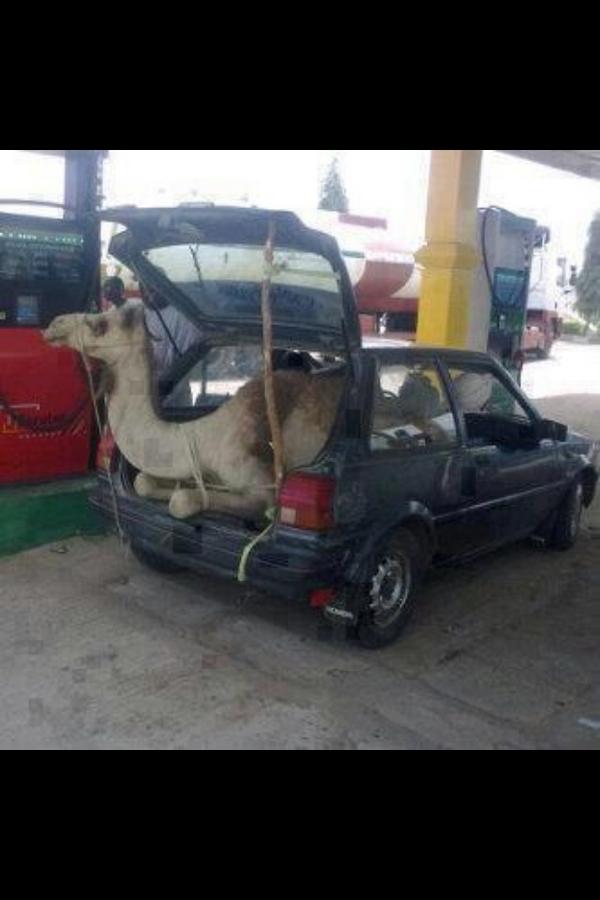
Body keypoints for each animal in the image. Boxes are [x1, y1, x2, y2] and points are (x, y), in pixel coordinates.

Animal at [44, 305, 345, 521]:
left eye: (100, 325)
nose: (54, 323)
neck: (200, 438)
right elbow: (143, 481)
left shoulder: (262, 486)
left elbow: (182, 501)